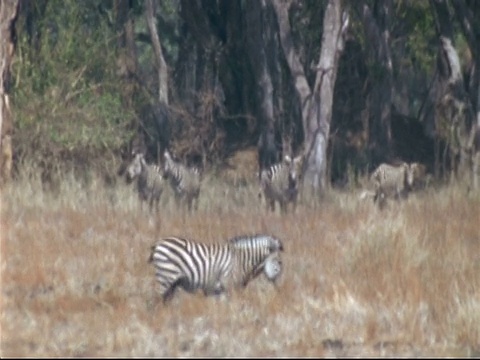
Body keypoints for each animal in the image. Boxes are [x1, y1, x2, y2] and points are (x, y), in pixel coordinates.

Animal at [149, 233, 284, 304]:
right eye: (279, 262)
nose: (278, 289)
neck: (241, 260)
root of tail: (158, 243)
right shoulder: (229, 285)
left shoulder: (218, 290)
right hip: (166, 275)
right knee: (157, 299)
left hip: (172, 282)